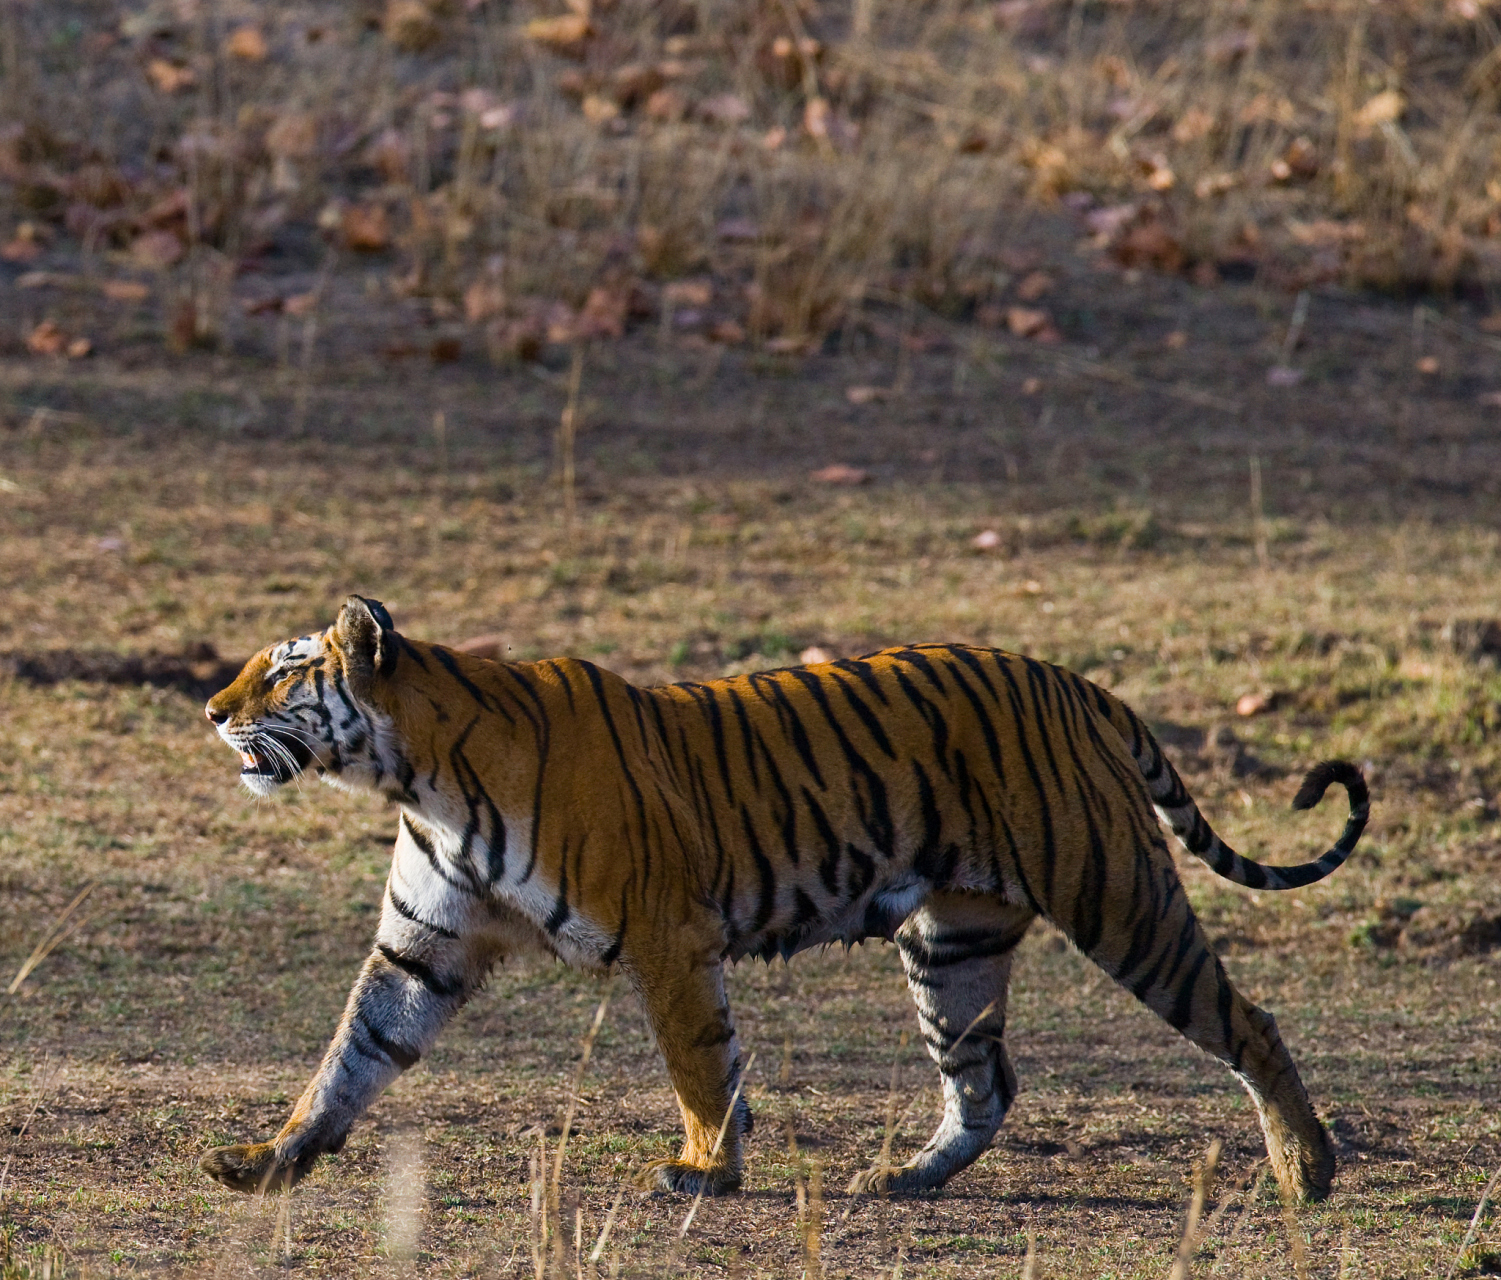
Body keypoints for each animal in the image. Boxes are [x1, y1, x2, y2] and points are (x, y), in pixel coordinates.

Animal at [198, 595, 1367, 1204]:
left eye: (280, 673)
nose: (210, 709)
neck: (416, 778)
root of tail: (1079, 683)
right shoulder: (422, 945)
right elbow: (350, 1055)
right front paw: (270, 1159)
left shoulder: (666, 932)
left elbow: (697, 1058)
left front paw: (706, 1167)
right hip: (950, 942)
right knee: (984, 1076)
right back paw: (909, 1177)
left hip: (1115, 896)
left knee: (1245, 1019)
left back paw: (1305, 1170)